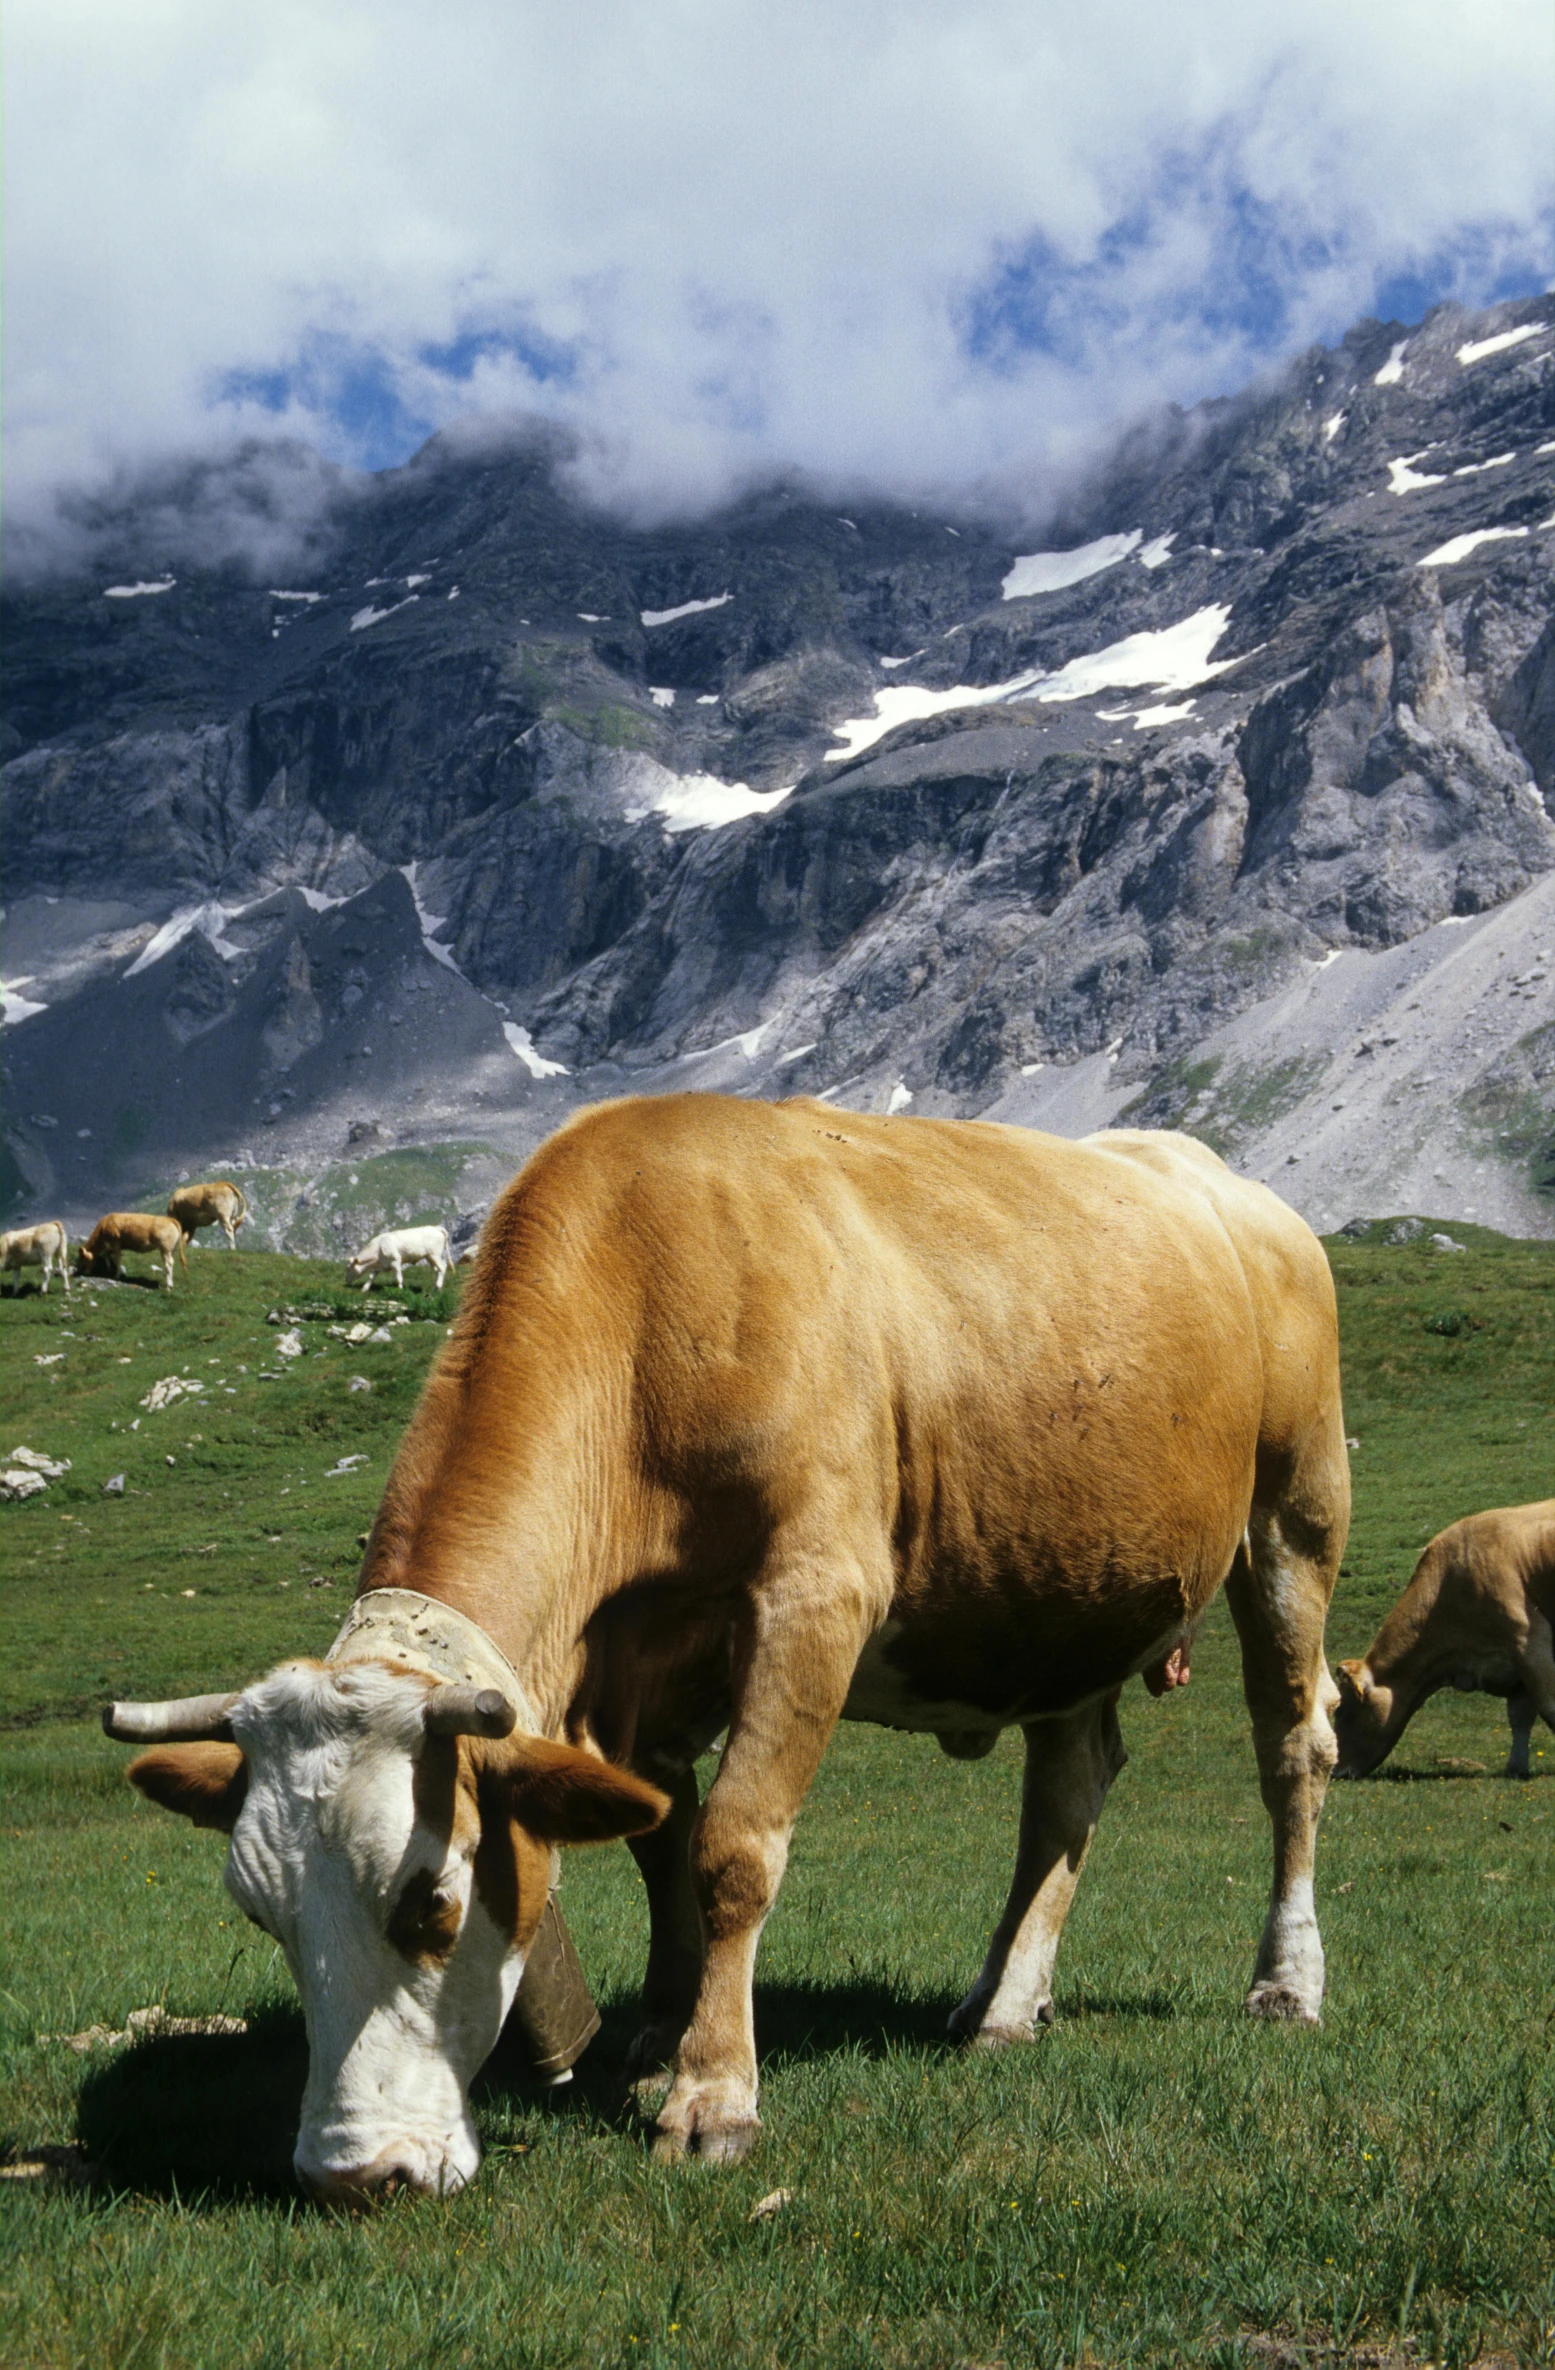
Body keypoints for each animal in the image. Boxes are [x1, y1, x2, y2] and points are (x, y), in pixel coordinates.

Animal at [106, 1099, 1346, 2189]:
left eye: (434, 1903)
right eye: (261, 1913)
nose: (354, 2172)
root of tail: (1225, 1183)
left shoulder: (815, 1597)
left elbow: (734, 1848)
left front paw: (713, 2093)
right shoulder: (644, 1666)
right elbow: (660, 1839)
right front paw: (662, 2030)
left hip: (1293, 1515)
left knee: (1292, 1750)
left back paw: (1284, 1983)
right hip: (1061, 1590)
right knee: (1070, 1782)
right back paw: (1003, 2001)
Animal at [1336, 1497, 1555, 1782]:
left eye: (1339, 1711)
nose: (1335, 1771)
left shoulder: (1531, 1642)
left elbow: (1548, 1707)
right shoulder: (1513, 1666)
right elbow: (1520, 1718)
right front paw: (1516, 1767)